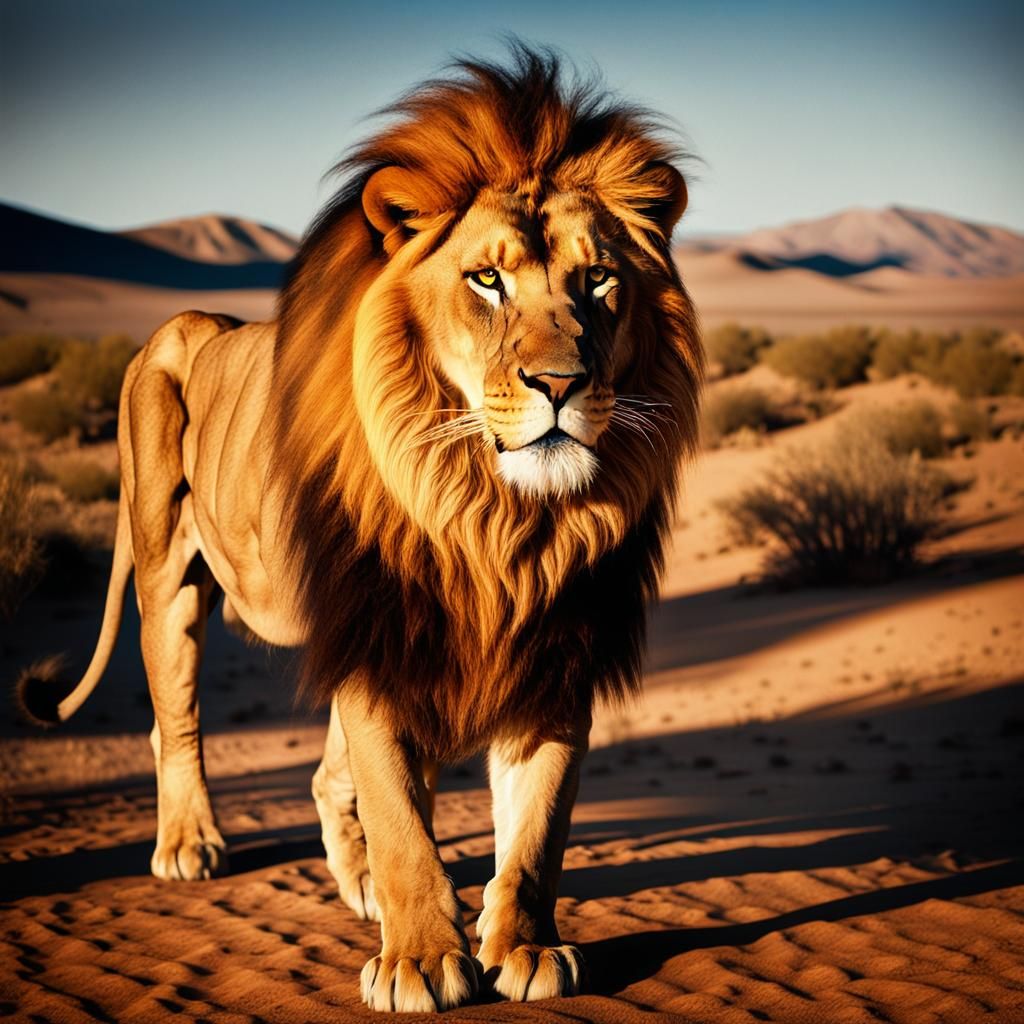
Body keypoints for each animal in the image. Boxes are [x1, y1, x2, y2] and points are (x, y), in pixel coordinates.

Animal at [18, 47, 703, 1011]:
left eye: (598, 280)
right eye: (486, 280)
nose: (561, 385)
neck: (498, 520)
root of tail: (191, 323)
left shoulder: (557, 644)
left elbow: (538, 824)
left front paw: (525, 948)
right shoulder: (378, 627)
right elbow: (396, 809)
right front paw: (419, 960)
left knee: (321, 773)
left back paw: (360, 885)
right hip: (165, 572)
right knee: (174, 717)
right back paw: (190, 845)